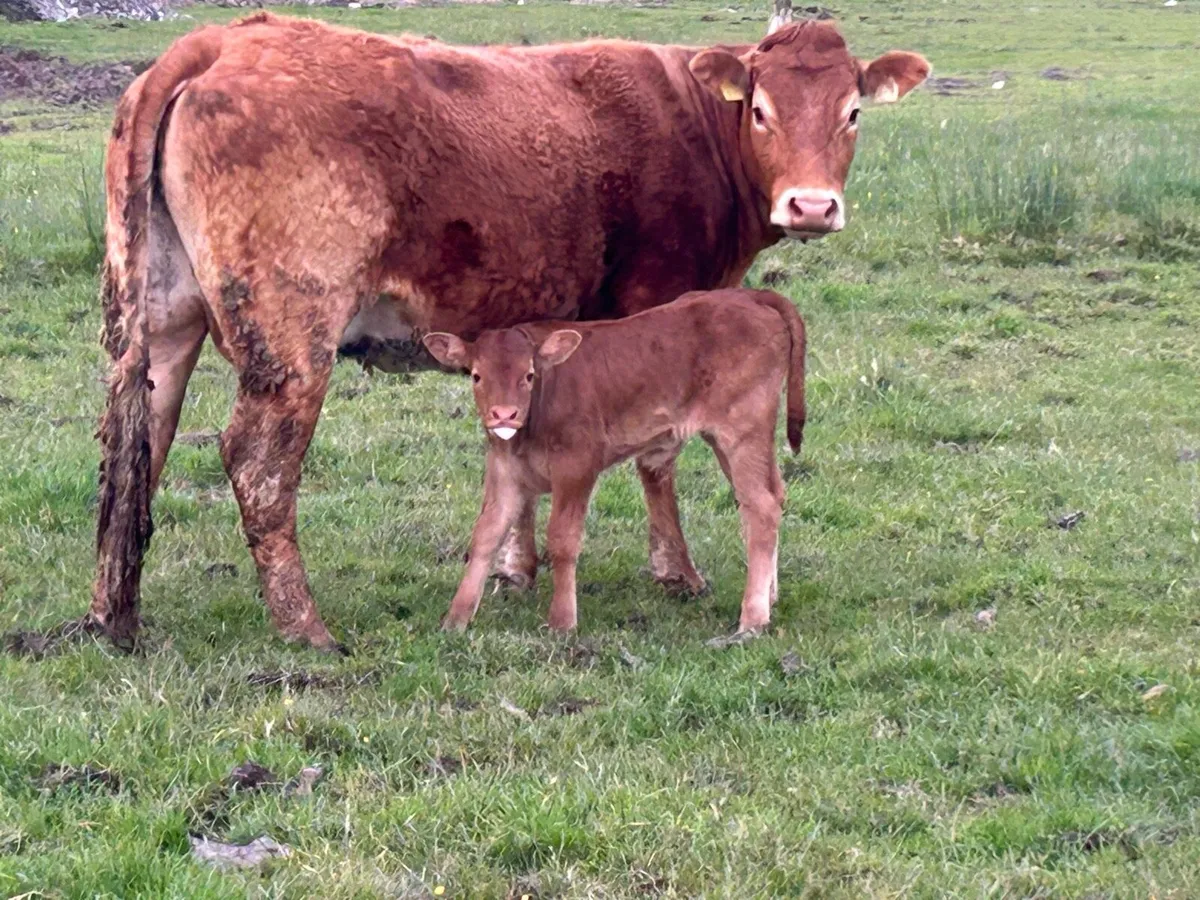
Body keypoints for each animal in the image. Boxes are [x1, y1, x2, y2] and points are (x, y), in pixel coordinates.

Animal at [422, 288, 806, 635]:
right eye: (476, 375)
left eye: (528, 375)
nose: (504, 414)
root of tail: (750, 294)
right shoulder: (504, 471)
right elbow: (485, 536)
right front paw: (455, 619)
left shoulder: (577, 465)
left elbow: (562, 540)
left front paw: (562, 622)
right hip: (735, 440)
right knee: (771, 495)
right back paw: (769, 597)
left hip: (742, 429)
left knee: (761, 506)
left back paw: (752, 619)